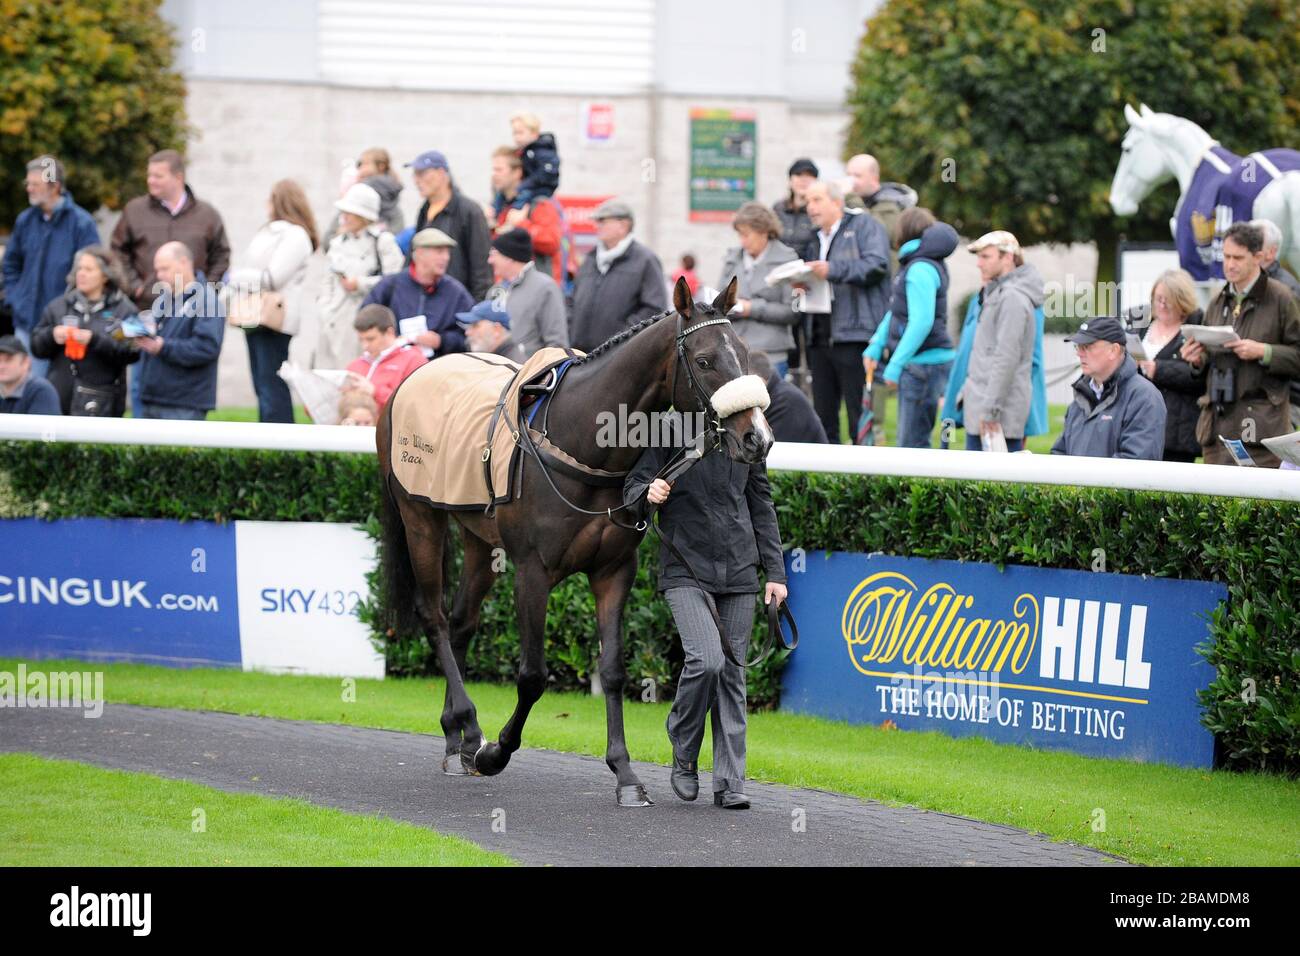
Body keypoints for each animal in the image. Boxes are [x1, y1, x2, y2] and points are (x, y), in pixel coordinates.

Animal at [374, 277, 769, 806]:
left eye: (744, 354)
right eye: (705, 360)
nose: (757, 439)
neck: (582, 444)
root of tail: (412, 377)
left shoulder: (613, 571)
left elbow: (613, 669)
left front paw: (626, 774)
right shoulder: (532, 572)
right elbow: (532, 675)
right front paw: (497, 752)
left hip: (479, 537)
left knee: (461, 622)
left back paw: (458, 737)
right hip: (420, 517)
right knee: (434, 617)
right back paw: (470, 728)